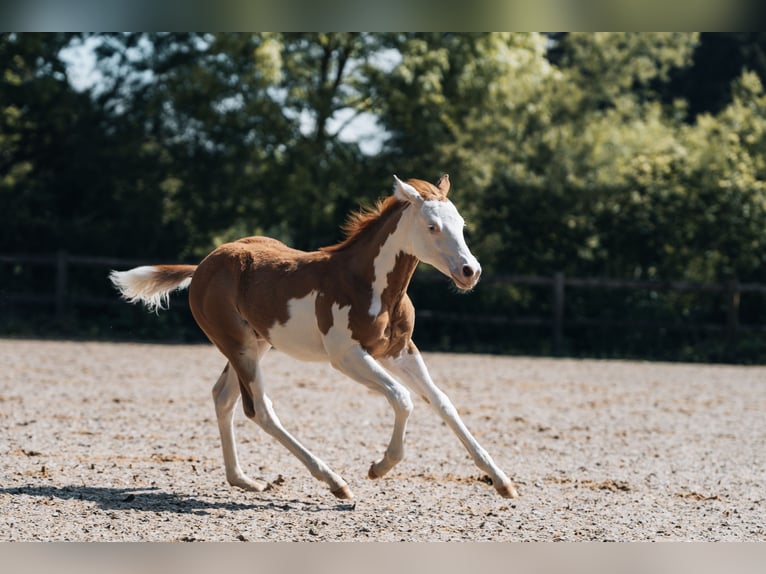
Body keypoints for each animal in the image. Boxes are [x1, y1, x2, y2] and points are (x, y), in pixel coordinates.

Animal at [111, 174, 520, 500]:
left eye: (461, 224)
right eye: (433, 226)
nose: (470, 271)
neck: (370, 284)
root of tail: (202, 267)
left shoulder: (400, 351)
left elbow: (442, 402)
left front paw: (502, 481)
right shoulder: (347, 356)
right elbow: (403, 399)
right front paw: (380, 466)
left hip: (256, 343)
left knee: (223, 397)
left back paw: (244, 480)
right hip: (238, 345)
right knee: (259, 409)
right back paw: (334, 481)